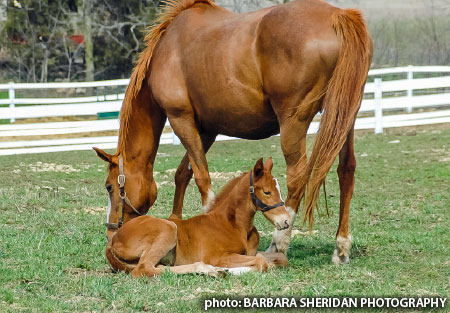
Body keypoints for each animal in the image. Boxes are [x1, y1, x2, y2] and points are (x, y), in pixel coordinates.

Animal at [93, 0, 370, 264]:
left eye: (109, 187)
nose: (110, 232)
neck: (167, 50)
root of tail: (338, 16)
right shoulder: (206, 130)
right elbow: (183, 173)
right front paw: (176, 220)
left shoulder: (181, 119)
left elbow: (201, 178)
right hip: (345, 118)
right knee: (346, 170)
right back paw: (341, 248)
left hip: (294, 122)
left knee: (297, 178)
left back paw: (278, 242)